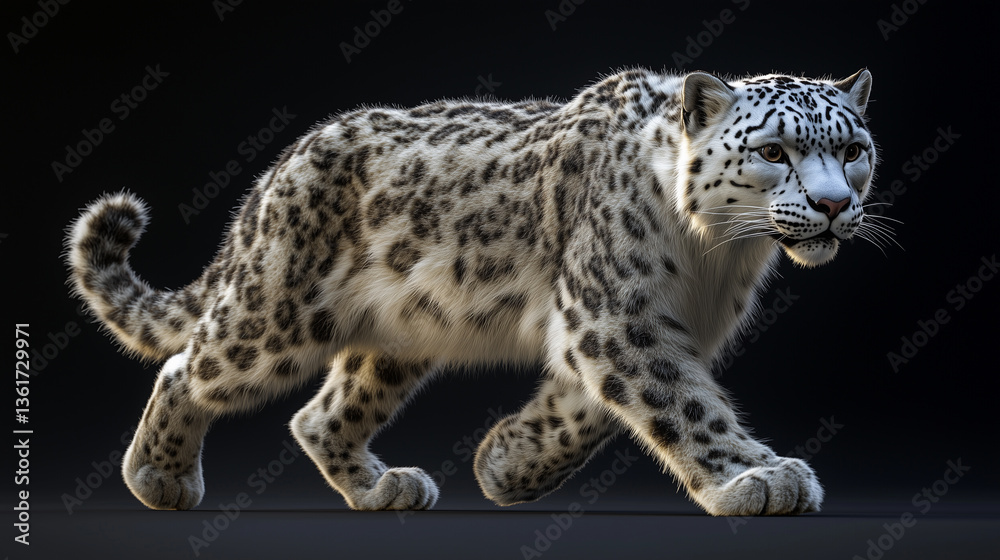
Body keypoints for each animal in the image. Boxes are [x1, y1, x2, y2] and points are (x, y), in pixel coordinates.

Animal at [65, 67, 877, 516]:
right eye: (773, 151)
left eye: (853, 151)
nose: (835, 204)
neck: (720, 257)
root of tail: (276, 172)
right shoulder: (616, 316)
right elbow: (685, 406)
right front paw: (761, 477)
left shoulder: (645, 329)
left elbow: (585, 410)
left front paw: (505, 462)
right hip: (274, 314)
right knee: (189, 368)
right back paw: (160, 477)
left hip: (395, 341)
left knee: (322, 414)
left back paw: (382, 488)